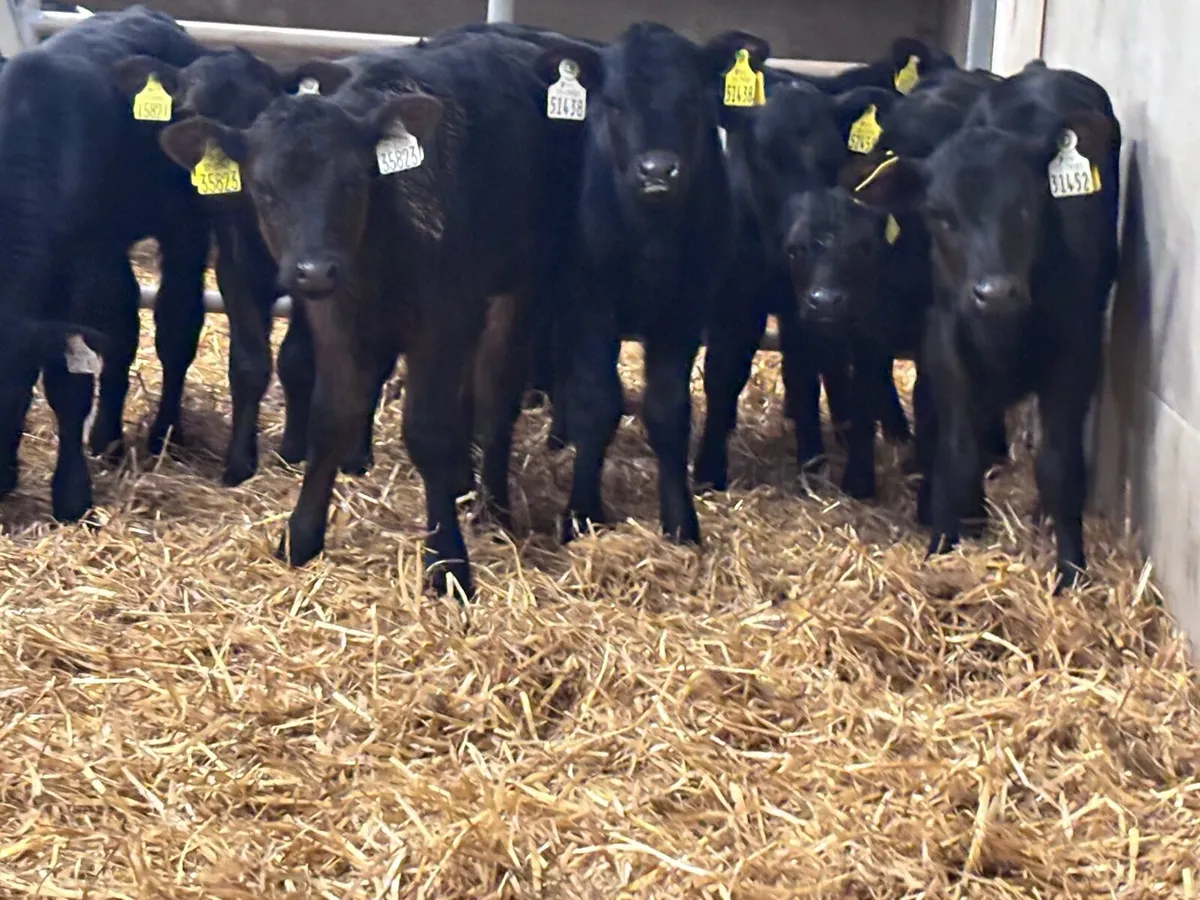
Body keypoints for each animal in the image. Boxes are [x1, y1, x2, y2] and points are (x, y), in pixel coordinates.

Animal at [0, 6, 208, 523]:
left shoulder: (81, 271)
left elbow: (67, 384)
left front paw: (71, 495)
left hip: (185, 223)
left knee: (177, 324)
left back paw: (163, 435)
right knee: (125, 329)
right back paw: (106, 438)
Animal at [158, 31, 586, 597]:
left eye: (353, 181)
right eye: (265, 190)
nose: (314, 269)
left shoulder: (446, 319)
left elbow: (428, 431)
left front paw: (447, 560)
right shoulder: (338, 317)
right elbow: (329, 416)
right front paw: (301, 536)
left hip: (520, 285)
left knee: (496, 397)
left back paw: (493, 509)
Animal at [528, 23, 769, 547]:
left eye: (692, 99)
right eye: (614, 102)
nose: (657, 169)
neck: (650, 236)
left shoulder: (683, 311)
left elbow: (669, 410)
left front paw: (681, 520)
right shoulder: (588, 302)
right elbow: (597, 402)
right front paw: (580, 512)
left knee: (723, 380)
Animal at [844, 60, 1121, 590]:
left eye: (1029, 204)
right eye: (940, 215)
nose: (994, 292)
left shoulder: (1077, 352)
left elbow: (1059, 465)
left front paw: (1070, 568)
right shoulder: (945, 343)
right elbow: (956, 453)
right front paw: (942, 545)